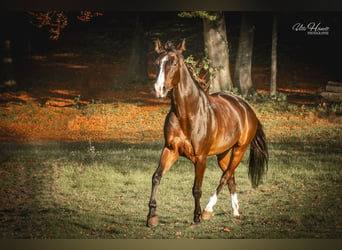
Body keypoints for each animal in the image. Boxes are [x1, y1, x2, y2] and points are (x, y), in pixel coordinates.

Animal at [146, 38, 268, 227]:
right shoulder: (170, 150)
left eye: (174, 63)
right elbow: (156, 177)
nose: (159, 89)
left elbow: (197, 188)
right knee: (230, 178)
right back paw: (235, 212)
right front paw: (151, 216)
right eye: (157, 63)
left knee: (225, 177)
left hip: (239, 150)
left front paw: (196, 217)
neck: (187, 114)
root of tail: (246, 107)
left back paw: (208, 210)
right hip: (223, 154)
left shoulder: (201, 157)